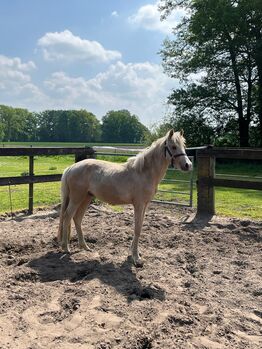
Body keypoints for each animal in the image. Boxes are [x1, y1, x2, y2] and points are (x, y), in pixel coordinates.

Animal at [57, 130, 192, 266]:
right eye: (173, 147)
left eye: (183, 146)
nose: (188, 165)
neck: (144, 172)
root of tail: (71, 168)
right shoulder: (138, 204)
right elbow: (137, 229)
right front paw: (136, 258)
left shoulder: (145, 205)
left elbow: (140, 227)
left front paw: (132, 253)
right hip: (76, 198)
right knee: (67, 217)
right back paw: (66, 248)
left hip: (86, 198)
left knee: (77, 218)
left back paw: (84, 246)